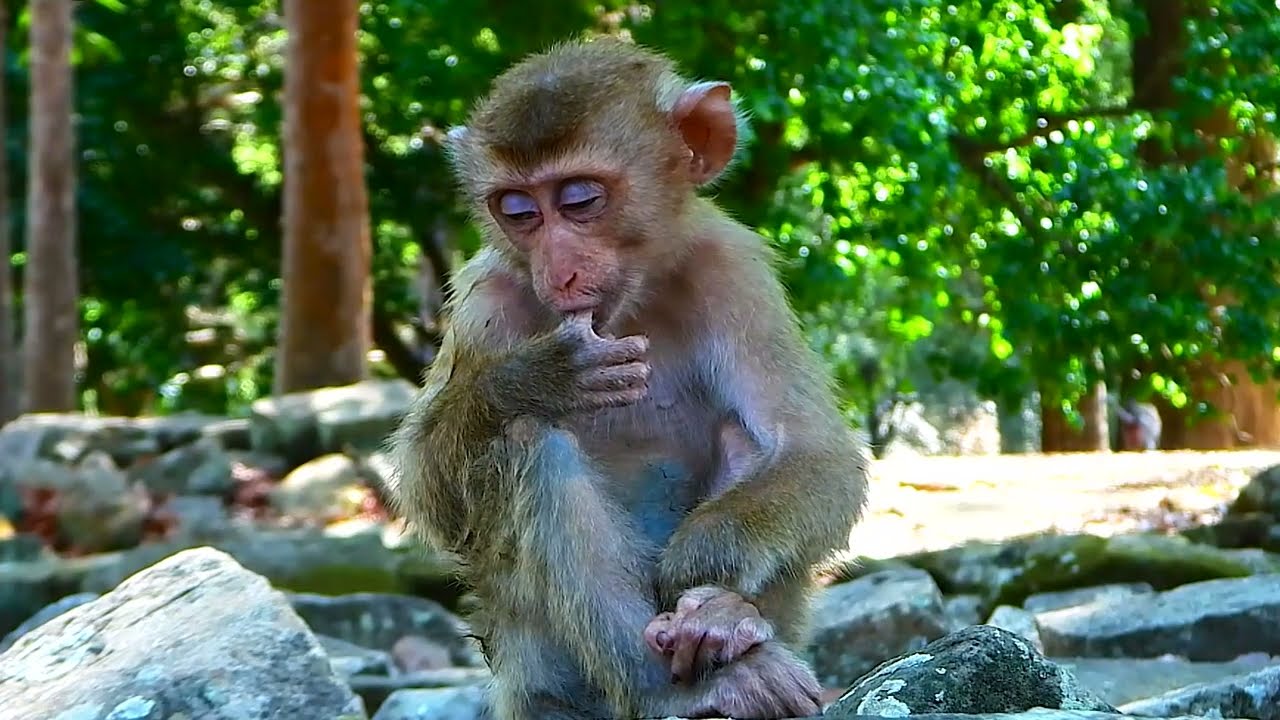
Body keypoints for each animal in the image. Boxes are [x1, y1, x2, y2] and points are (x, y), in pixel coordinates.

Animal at [387, 36, 869, 720]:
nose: (558, 272)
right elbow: (428, 483)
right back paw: (675, 691)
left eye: (580, 200)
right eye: (517, 211)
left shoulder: (732, 269)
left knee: (749, 440)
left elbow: (813, 449)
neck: (632, 308)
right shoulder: (488, 298)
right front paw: (537, 377)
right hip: (541, 669)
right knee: (530, 446)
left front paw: (704, 578)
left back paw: (727, 625)